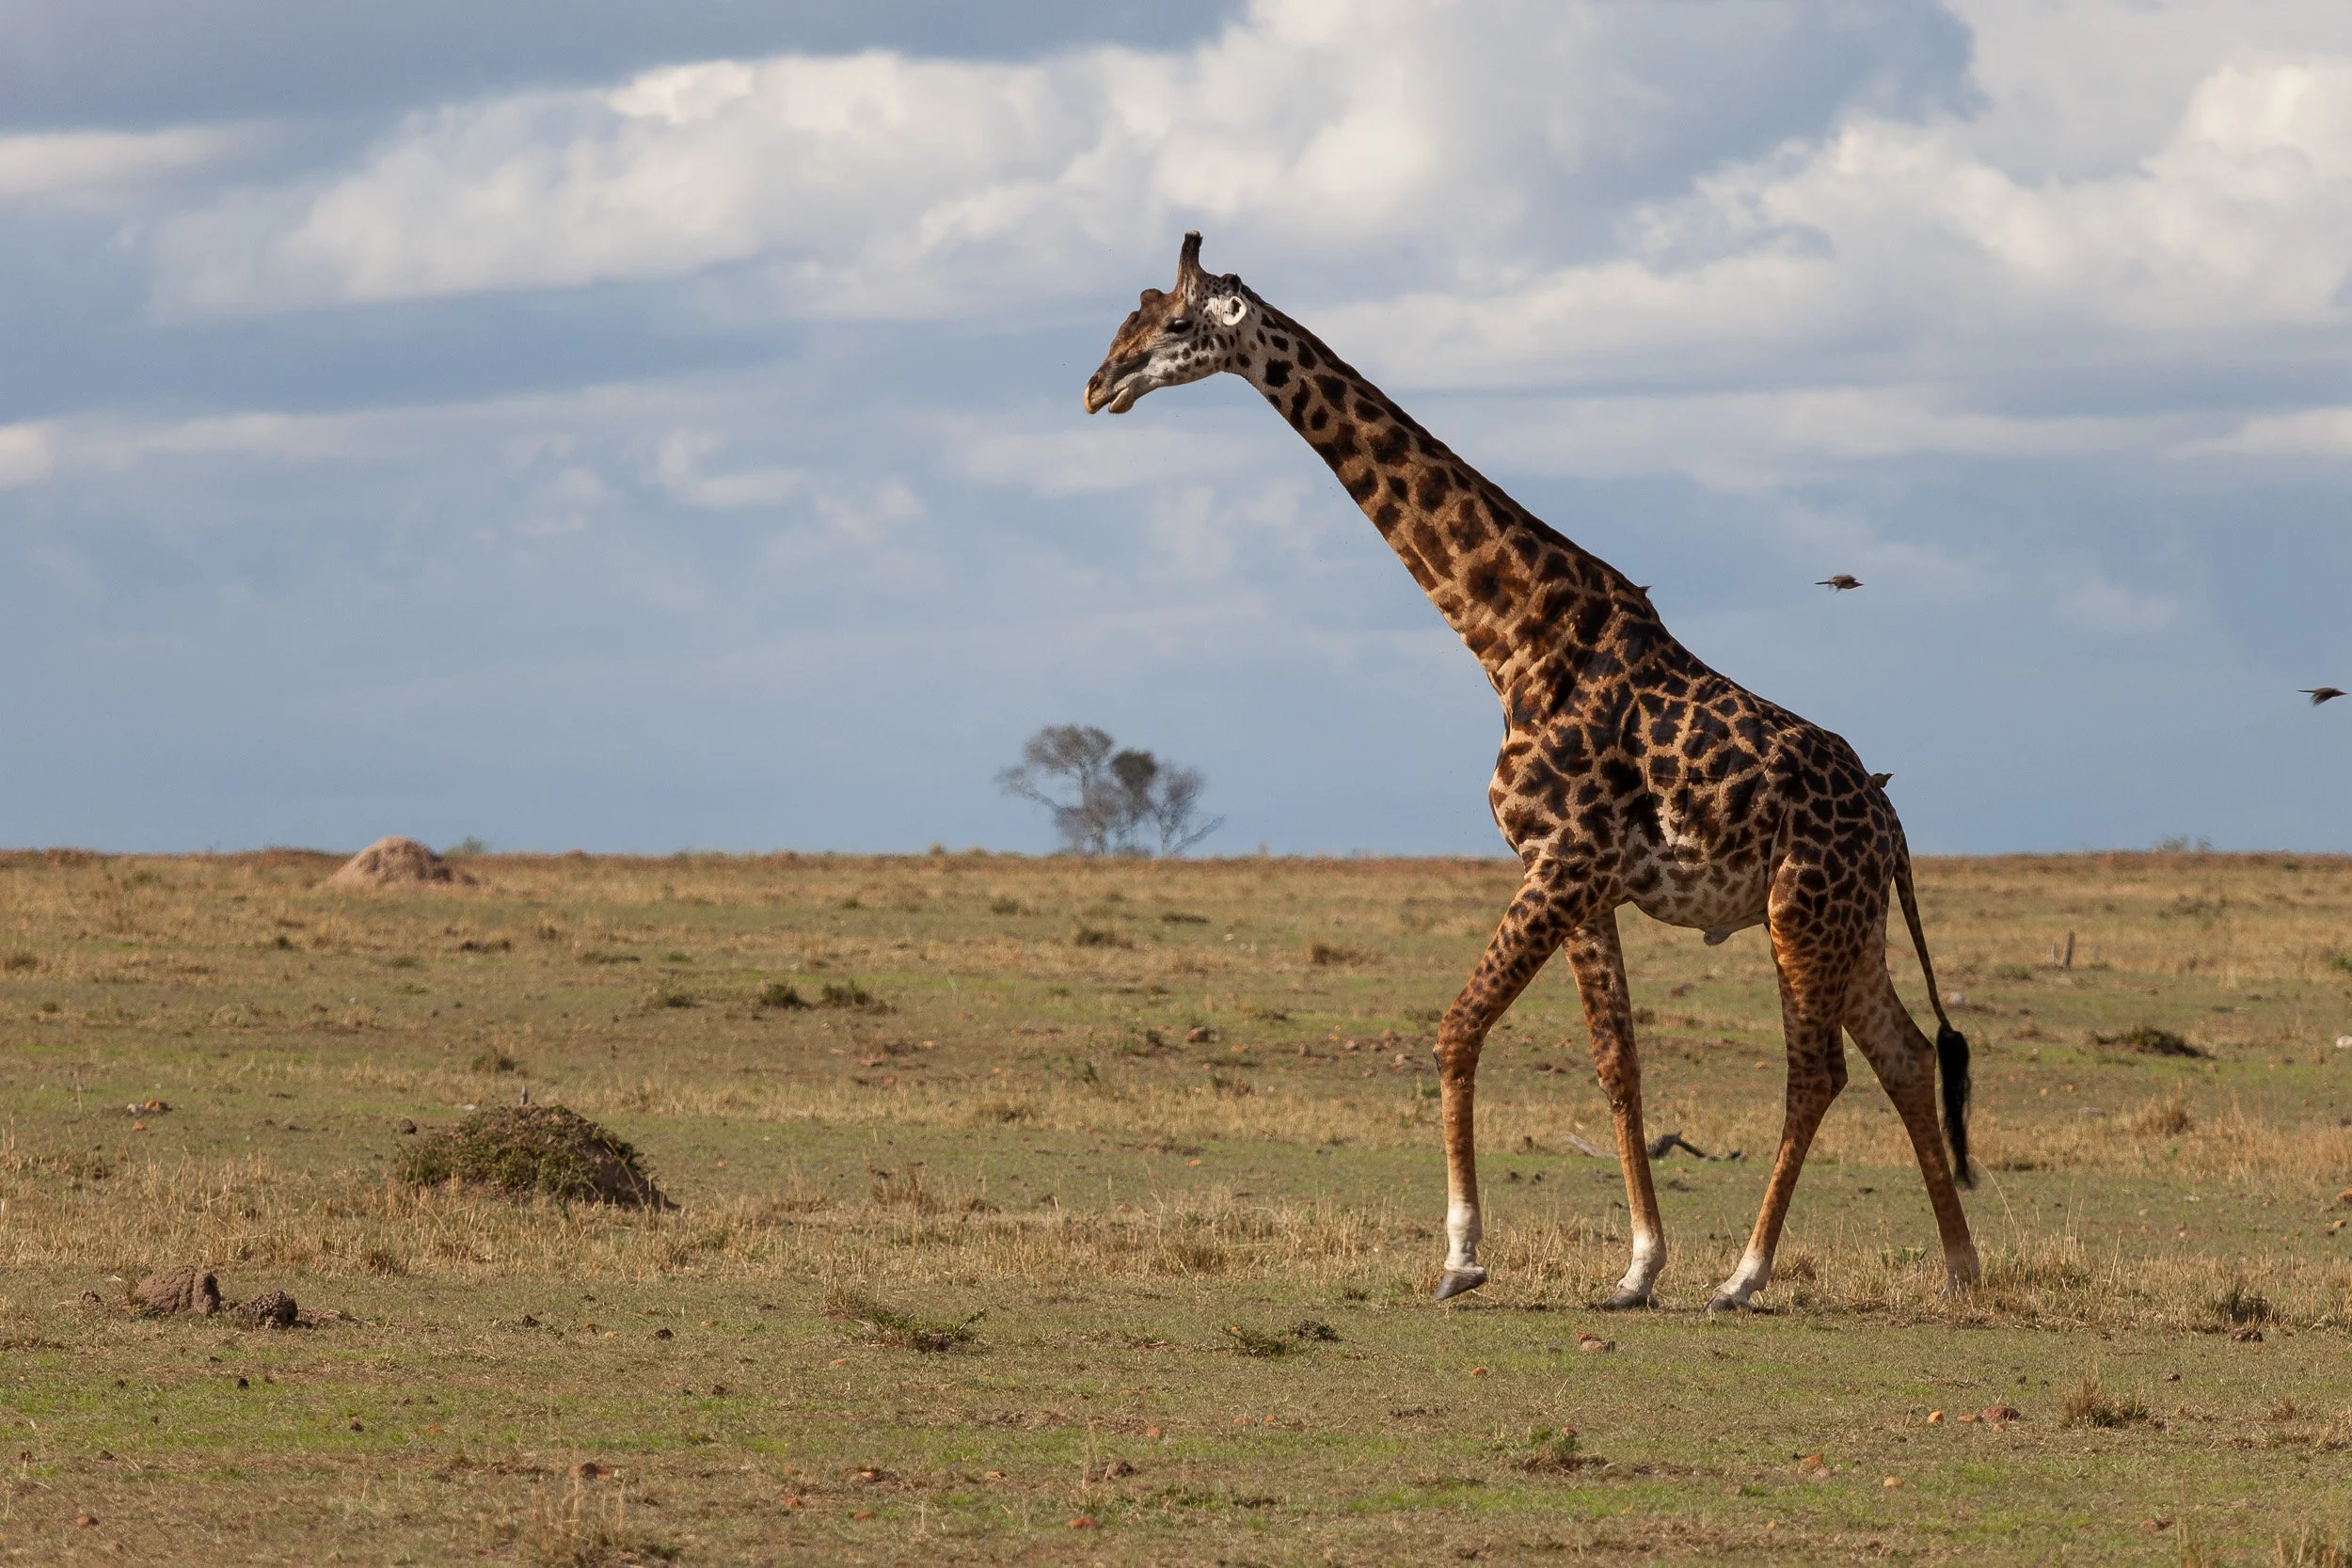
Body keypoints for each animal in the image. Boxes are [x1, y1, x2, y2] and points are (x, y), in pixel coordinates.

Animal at [1084, 234, 1980, 1311]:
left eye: (1174, 323)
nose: (1097, 385)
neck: (1511, 640)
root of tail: (1889, 824)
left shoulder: (1560, 859)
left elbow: (1455, 1027)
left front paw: (1462, 1257)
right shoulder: (1582, 880)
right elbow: (1616, 1062)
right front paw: (1636, 1267)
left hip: (1800, 909)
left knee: (1818, 1072)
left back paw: (1745, 1275)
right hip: (1849, 922)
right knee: (1906, 1052)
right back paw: (1960, 1267)